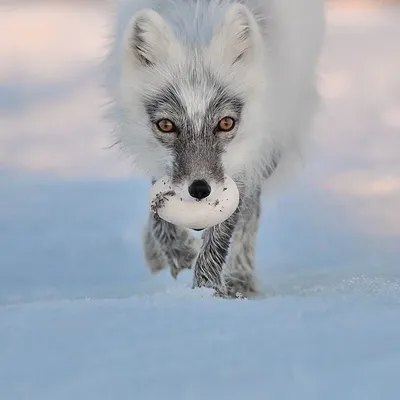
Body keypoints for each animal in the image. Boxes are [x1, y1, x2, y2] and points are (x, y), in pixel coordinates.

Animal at [103, 0, 324, 296]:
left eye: (226, 123)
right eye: (166, 125)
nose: (199, 190)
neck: (195, 24)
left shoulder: (244, 160)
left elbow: (224, 232)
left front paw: (206, 291)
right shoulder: (159, 160)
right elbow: (159, 215)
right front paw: (180, 255)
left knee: (251, 212)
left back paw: (241, 279)